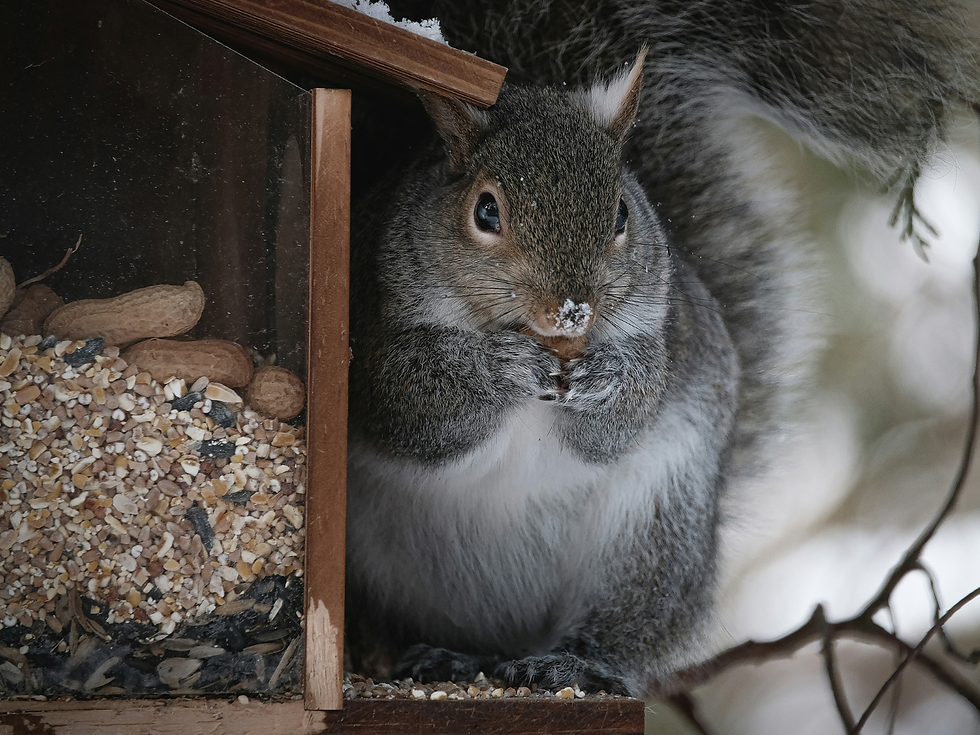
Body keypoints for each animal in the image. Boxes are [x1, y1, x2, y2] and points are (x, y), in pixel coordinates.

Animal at [344, 0, 980, 697]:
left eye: (622, 211)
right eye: (485, 211)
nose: (572, 310)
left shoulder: (665, 336)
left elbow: (623, 417)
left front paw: (605, 379)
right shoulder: (374, 333)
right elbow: (416, 412)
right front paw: (500, 366)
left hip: (652, 542)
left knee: (625, 633)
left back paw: (576, 662)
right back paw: (449, 657)